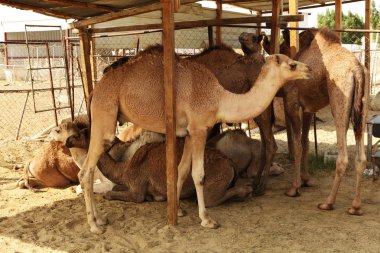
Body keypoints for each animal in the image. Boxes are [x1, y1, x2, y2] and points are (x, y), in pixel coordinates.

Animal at [67, 128, 254, 208]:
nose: (67, 141)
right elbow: (115, 188)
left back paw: (246, 192)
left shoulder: (137, 188)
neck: (124, 168)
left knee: (210, 200)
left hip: (215, 180)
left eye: (77, 134)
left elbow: (113, 194)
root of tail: (229, 162)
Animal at [255, 28, 368, 214]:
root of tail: (357, 70)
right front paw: (306, 180)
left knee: (343, 157)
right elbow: (306, 142)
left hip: (339, 101)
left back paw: (328, 202)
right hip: (362, 111)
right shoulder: (308, 109)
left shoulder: (291, 102)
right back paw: (355, 206)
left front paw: (294, 188)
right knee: (361, 157)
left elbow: (297, 145)